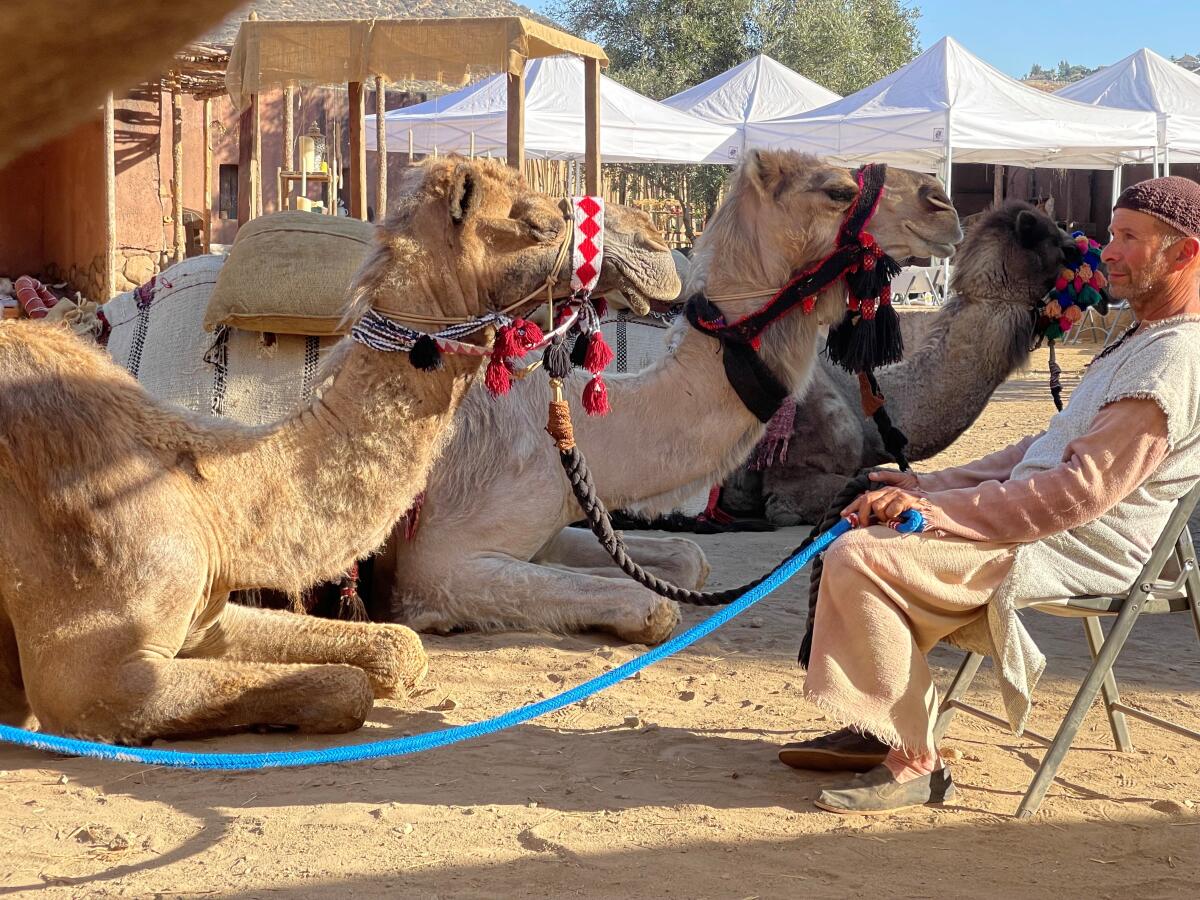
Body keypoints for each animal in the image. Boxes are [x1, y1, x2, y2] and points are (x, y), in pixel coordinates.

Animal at [0, 158, 676, 744]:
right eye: (534, 222)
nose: (655, 243)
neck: (210, 496)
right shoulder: (94, 681)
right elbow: (345, 687)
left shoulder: (207, 618)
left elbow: (398, 648)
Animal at [384, 154, 964, 648]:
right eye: (838, 191)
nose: (943, 202)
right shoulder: (437, 565)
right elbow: (654, 608)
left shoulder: (549, 528)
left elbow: (689, 558)